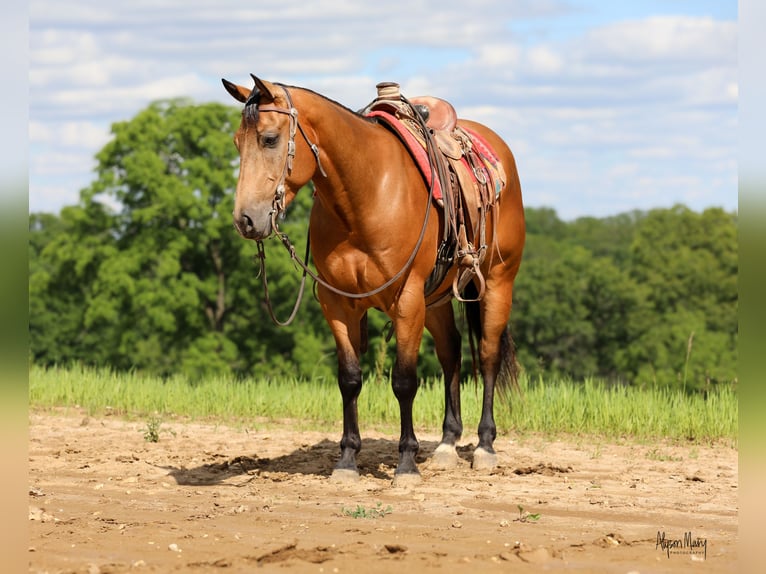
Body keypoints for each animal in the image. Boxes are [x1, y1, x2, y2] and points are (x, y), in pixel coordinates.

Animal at [219, 74, 524, 484]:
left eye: (269, 138)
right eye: (238, 142)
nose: (245, 219)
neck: (365, 194)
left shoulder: (407, 300)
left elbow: (404, 381)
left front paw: (406, 463)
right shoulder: (337, 303)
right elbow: (349, 379)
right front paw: (347, 460)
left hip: (496, 284)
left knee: (489, 356)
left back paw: (485, 446)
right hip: (436, 300)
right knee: (452, 353)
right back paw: (447, 444)